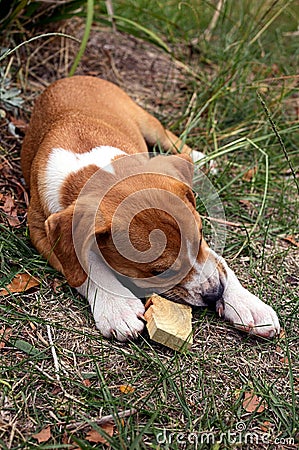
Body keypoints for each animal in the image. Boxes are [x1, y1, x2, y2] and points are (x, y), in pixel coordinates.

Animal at [21, 75, 282, 342]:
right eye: (160, 271)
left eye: (200, 238)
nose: (215, 293)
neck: (95, 166)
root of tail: (71, 78)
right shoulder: (41, 232)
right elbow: (86, 264)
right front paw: (117, 307)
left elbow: (218, 261)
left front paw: (247, 304)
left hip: (147, 121)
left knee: (169, 138)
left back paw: (201, 158)